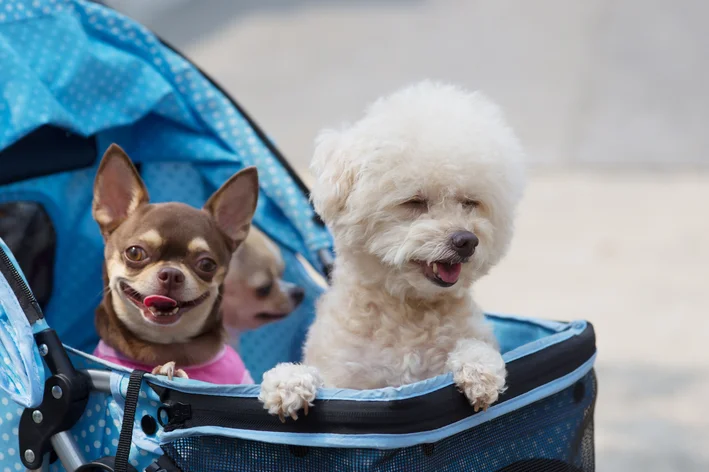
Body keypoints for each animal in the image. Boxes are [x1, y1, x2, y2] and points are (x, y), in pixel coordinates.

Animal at [258, 80, 524, 420]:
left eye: (470, 202)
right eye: (414, 202)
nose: (466, 240)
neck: (407, 309)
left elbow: (476, 346)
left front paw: (479, 370)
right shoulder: (345, 378)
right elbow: (313, 376)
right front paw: (289, 382)